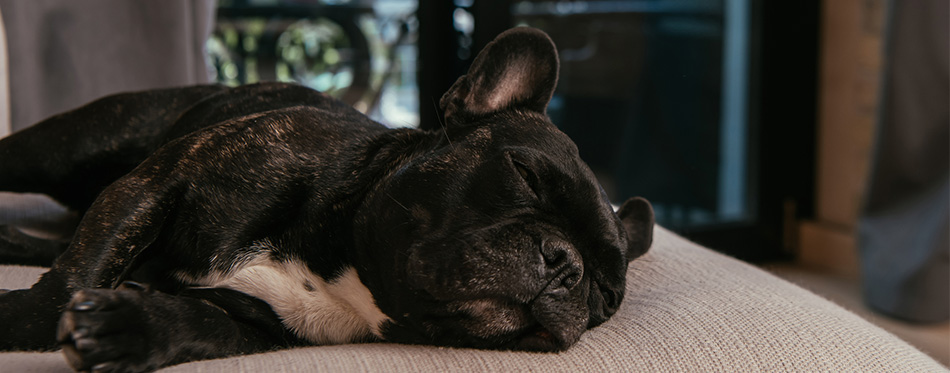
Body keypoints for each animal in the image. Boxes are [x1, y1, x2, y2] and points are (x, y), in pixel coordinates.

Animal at [0, 27, 656, 370]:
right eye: (525, 174)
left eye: (606, 294)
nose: (566, 266)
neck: (345, 264)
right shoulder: (157, 184)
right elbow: (83, 270)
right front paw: (27, 324)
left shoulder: (257, 324)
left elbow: (196, 323)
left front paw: (125, 328)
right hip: (73, 144)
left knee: (60, 242)